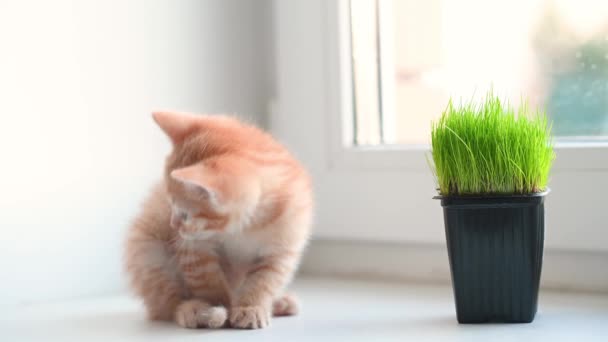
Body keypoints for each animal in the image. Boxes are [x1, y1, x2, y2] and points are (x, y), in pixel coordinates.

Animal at [123, 111, 314, 328]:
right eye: (169, 204)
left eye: (185, 214)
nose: (173, 225)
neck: (248, 226)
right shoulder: (194, 249)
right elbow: (208, 281)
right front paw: (219, 307)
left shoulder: (283, 247)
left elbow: (264, 280)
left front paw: (250, 307)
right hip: (147, 251)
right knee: (166, 302)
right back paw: (192, 310)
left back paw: (280, 303)